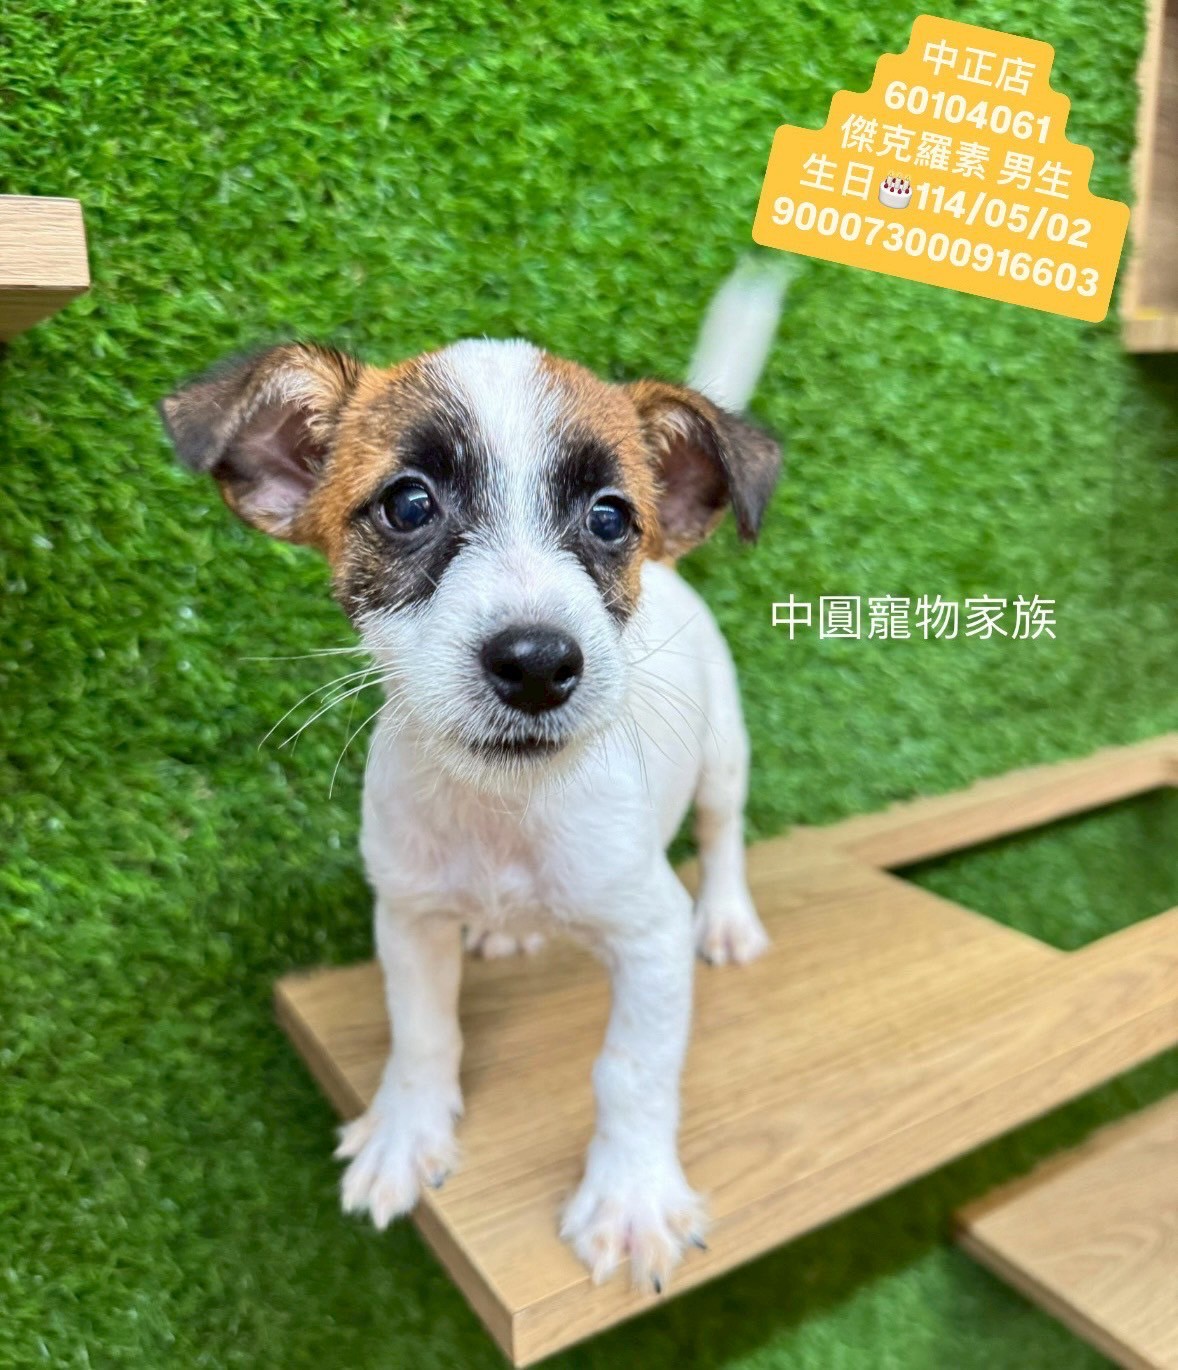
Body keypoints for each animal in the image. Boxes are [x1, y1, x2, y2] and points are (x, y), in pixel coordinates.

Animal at [160, 267, 784, 1292]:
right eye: (408, 505)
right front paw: (406, 1138)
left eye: (610, 516)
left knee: (724, 829)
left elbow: (632, 1070)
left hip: (726, 752)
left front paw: (632, 1197)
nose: (537, 663)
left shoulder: (648, 934)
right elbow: (421, 1035)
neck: (506, 816)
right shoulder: (407, 914)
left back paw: (728, 917)